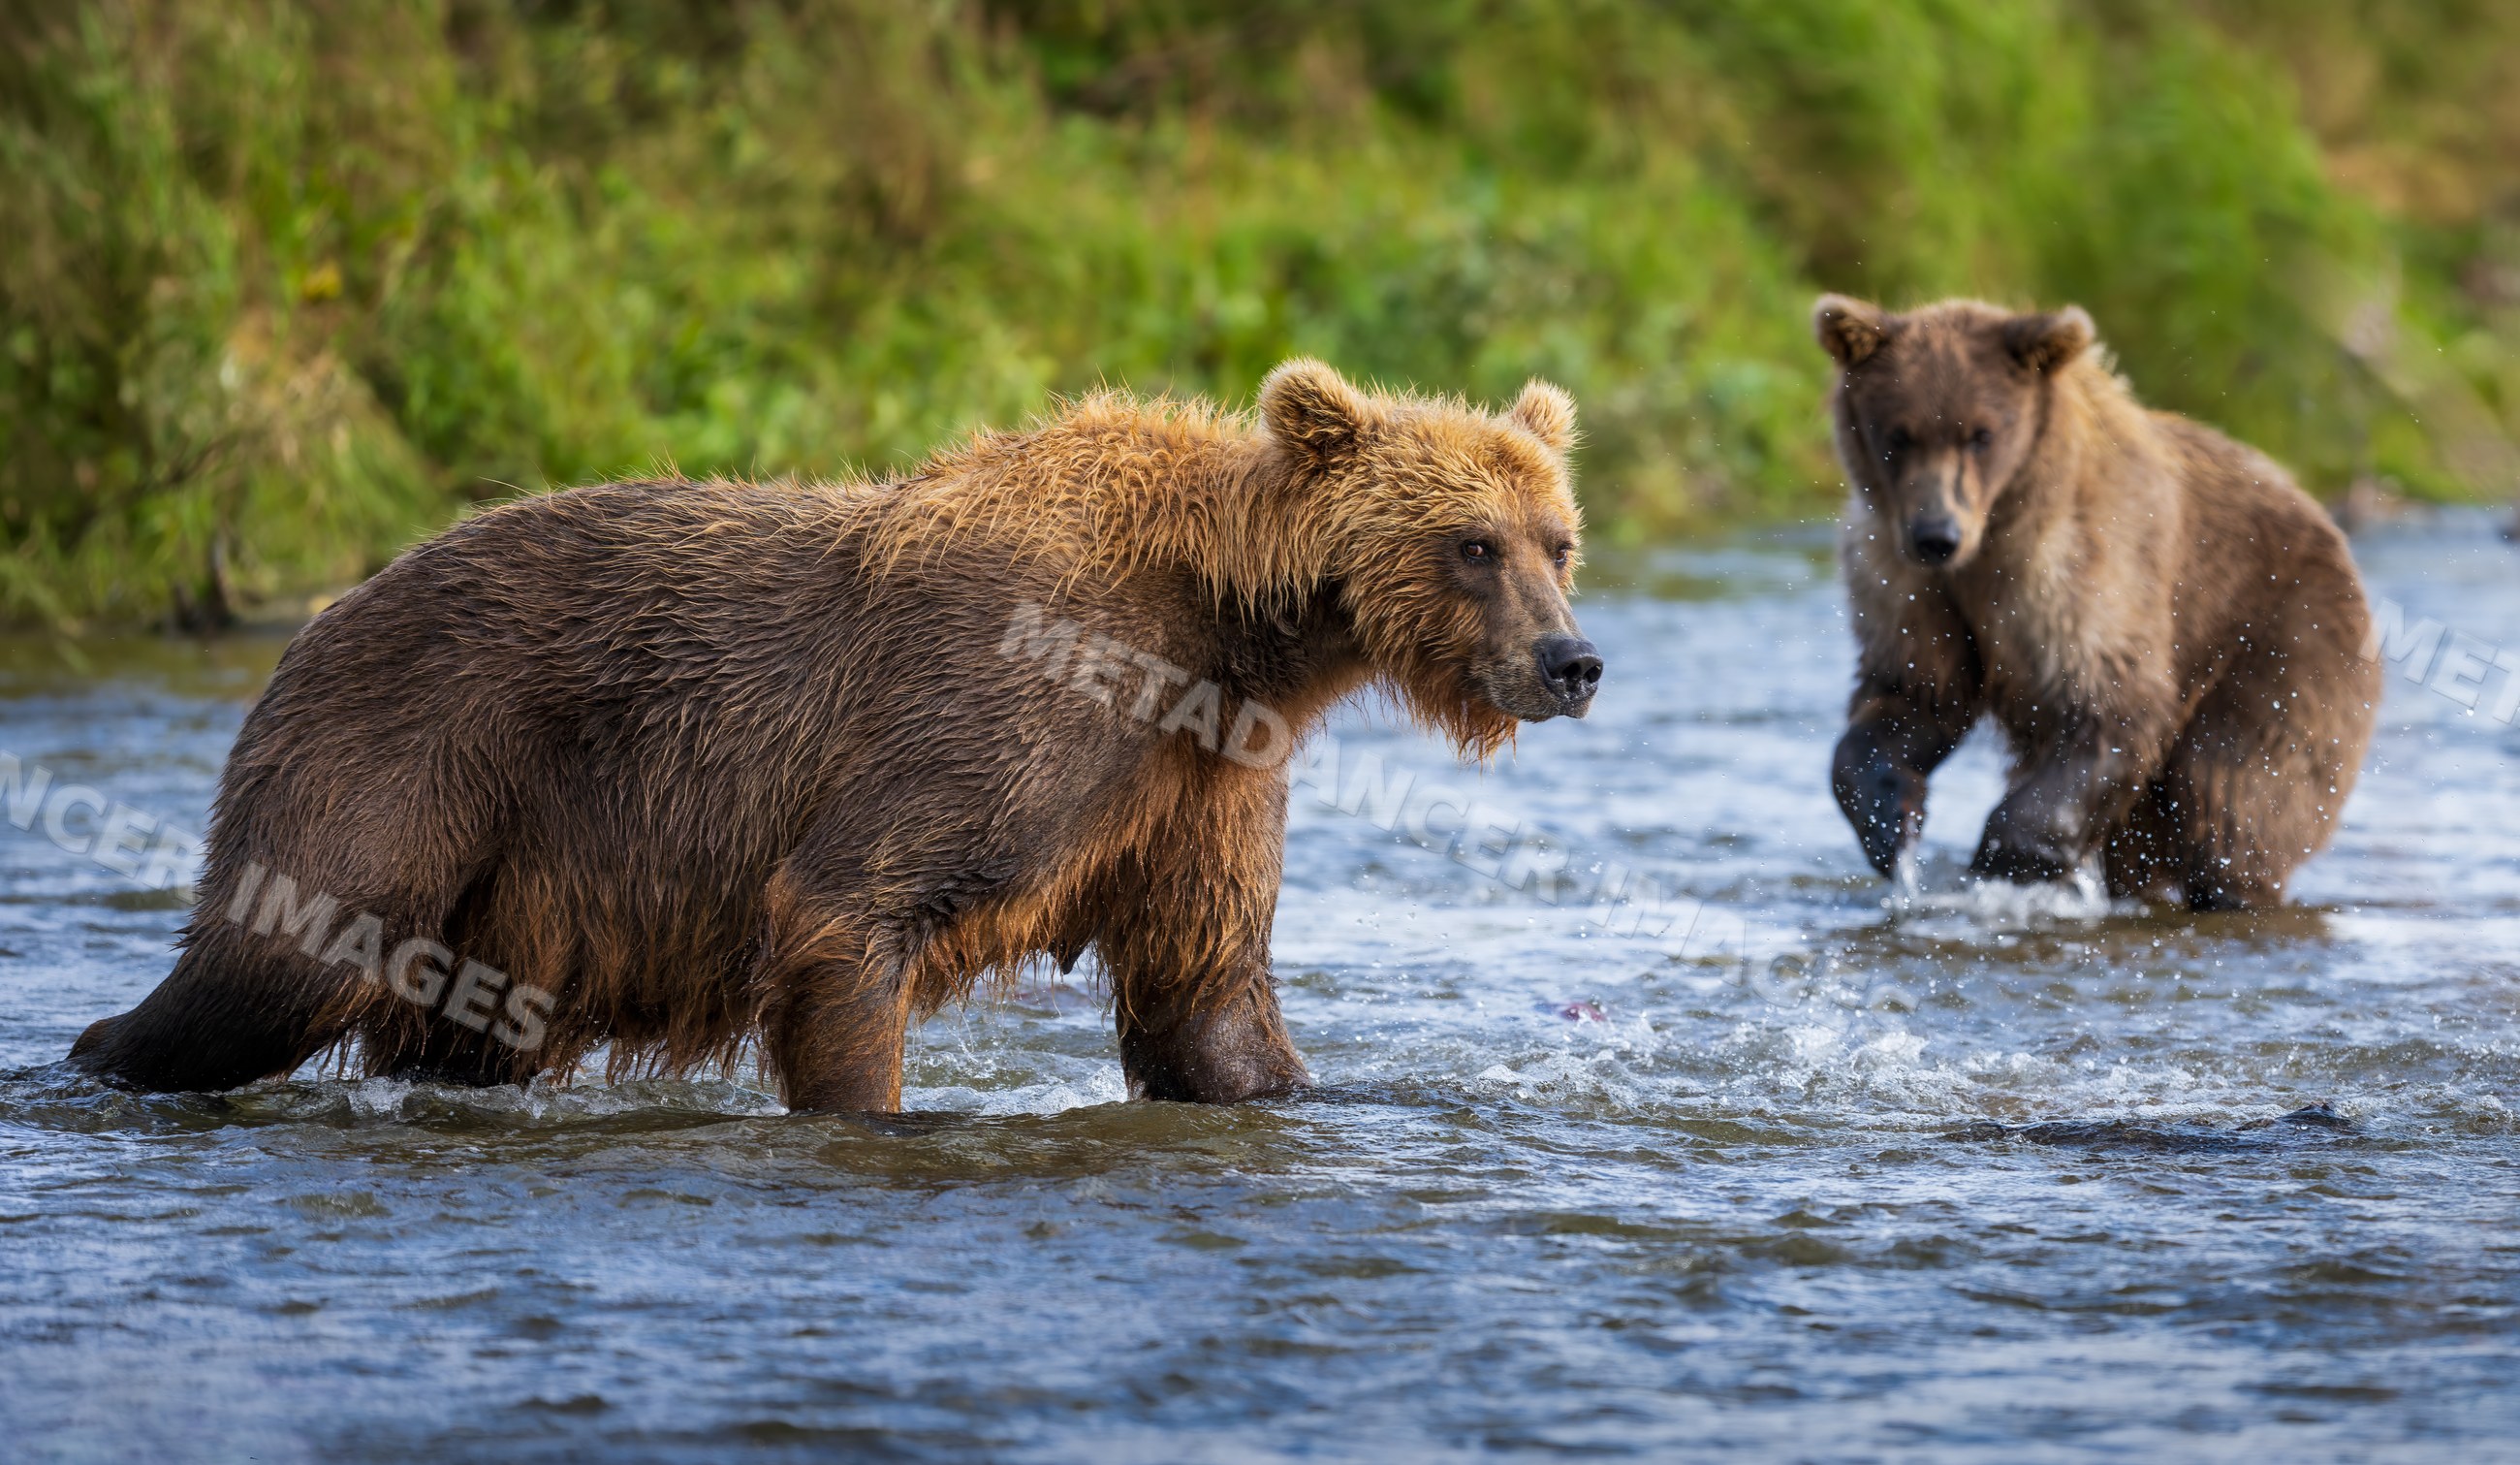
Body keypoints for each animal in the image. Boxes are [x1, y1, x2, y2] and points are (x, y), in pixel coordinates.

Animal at [68, 360, 1602, 1111]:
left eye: (1559, 537)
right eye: (1472, 541)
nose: (1571, 660)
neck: (1227, 634)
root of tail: (317, 611)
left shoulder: (1202, 774)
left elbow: (1207, 987)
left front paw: (1291, 1085)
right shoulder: (1014, 707)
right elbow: (851, 899)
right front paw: (870, 1102)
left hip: (508, 893)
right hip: (413, 747)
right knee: (271, 961)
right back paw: (103, 1054)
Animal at [1812, 295, 2378, 910]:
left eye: (1982, 434)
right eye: (1899, 434)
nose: (1936, 534)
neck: (1992, 537)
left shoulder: (2081, 567)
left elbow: (2110, 703)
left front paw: (2001, 862)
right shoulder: (1899, 576)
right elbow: (1915, 692)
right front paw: (1891, 819)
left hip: (2284, 639)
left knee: (2235, 795)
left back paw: (2234, 884)